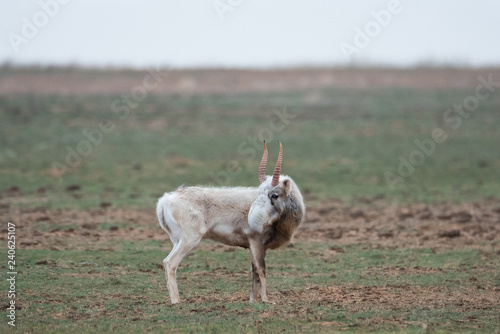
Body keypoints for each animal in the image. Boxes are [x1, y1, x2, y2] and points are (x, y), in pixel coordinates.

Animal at [156, 142, 304, 304]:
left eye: (275, 195)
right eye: (260, 193)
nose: (254, 220)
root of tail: (165, 200)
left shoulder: (259, 246)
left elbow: (254, 271)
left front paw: (252, 300)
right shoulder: (255, 241)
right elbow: (261, 269)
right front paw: (266, 300)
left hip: (177, 241)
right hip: (189, 240)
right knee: (170, 262)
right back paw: (176, 301)